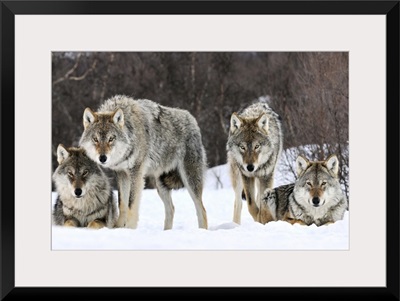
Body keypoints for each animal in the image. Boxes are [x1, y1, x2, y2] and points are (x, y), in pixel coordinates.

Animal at [79, 95, 209, 229]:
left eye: (111, 139)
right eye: (95, 139)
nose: (102, 158)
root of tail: (192, 119)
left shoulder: (136, 173)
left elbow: (131, 204)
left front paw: (130, 228)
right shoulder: (121, 174)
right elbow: (122, 203)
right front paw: (119, 228)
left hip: (189, 180)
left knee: (202, 210)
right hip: (161, 185)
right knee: (171, 209)